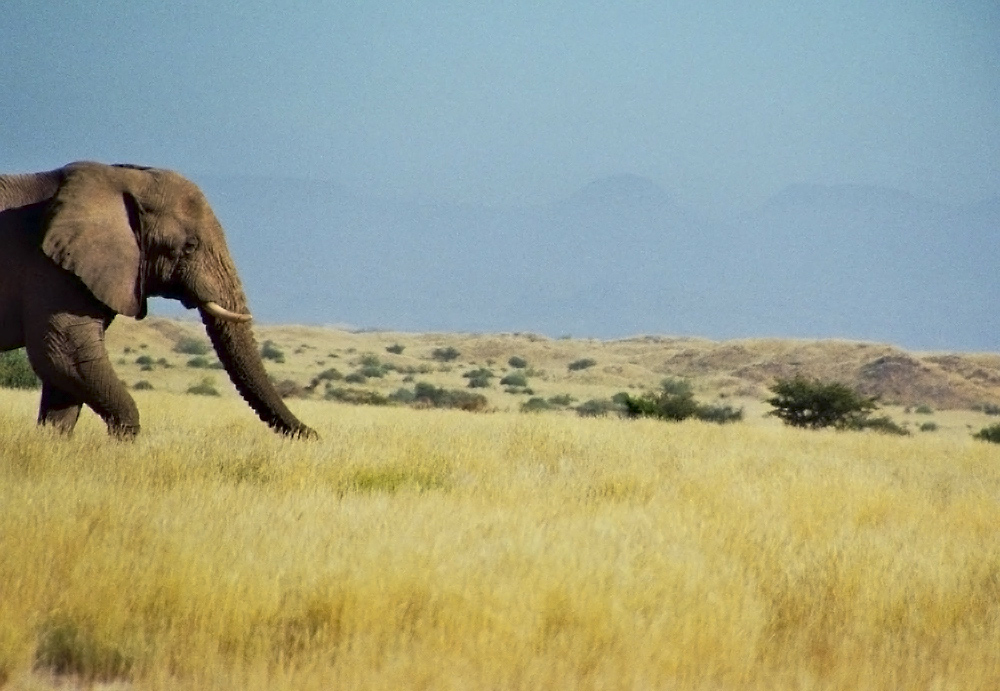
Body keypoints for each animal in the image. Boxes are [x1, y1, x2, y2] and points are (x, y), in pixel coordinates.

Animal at [0, 162, 316, 438]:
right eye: (190, 246)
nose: (315, 435)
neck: (118, 178)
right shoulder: (50, 271)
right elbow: (63, 357)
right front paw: (122, 446)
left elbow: (63, 381)